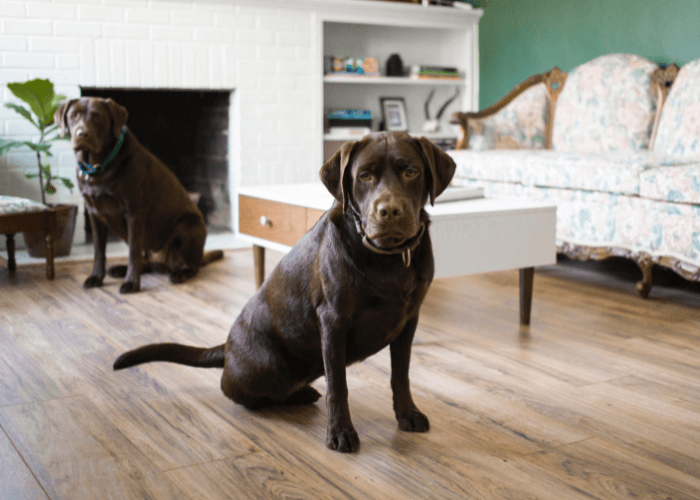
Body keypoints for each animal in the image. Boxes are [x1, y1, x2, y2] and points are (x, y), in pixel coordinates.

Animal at [56, 97, 223, 292]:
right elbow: (99, 251)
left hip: (187, 226)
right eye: (74, 115)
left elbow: (133, 252)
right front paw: (96, 277)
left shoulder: (134, 212)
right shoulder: (94, 214)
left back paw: (179, 274)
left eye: (98, 116)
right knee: (148, 263)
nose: (82, 134)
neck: (98, 168)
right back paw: (120, 269)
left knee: (191, 267)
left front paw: (131, 283)